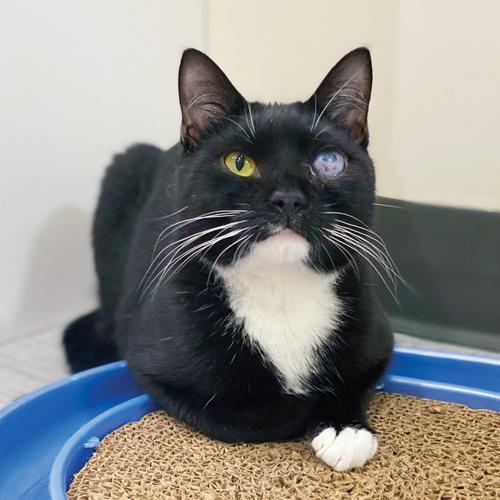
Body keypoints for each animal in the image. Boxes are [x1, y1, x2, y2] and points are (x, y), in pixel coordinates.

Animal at [64, 47, 394, 472]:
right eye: (239, 162)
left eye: (329, 161)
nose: (288, 198)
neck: (280, 288)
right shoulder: (154, 361)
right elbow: (245, 412)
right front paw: (306, 409)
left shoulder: (375, 334)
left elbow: (358, 378)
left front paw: (345, 429)